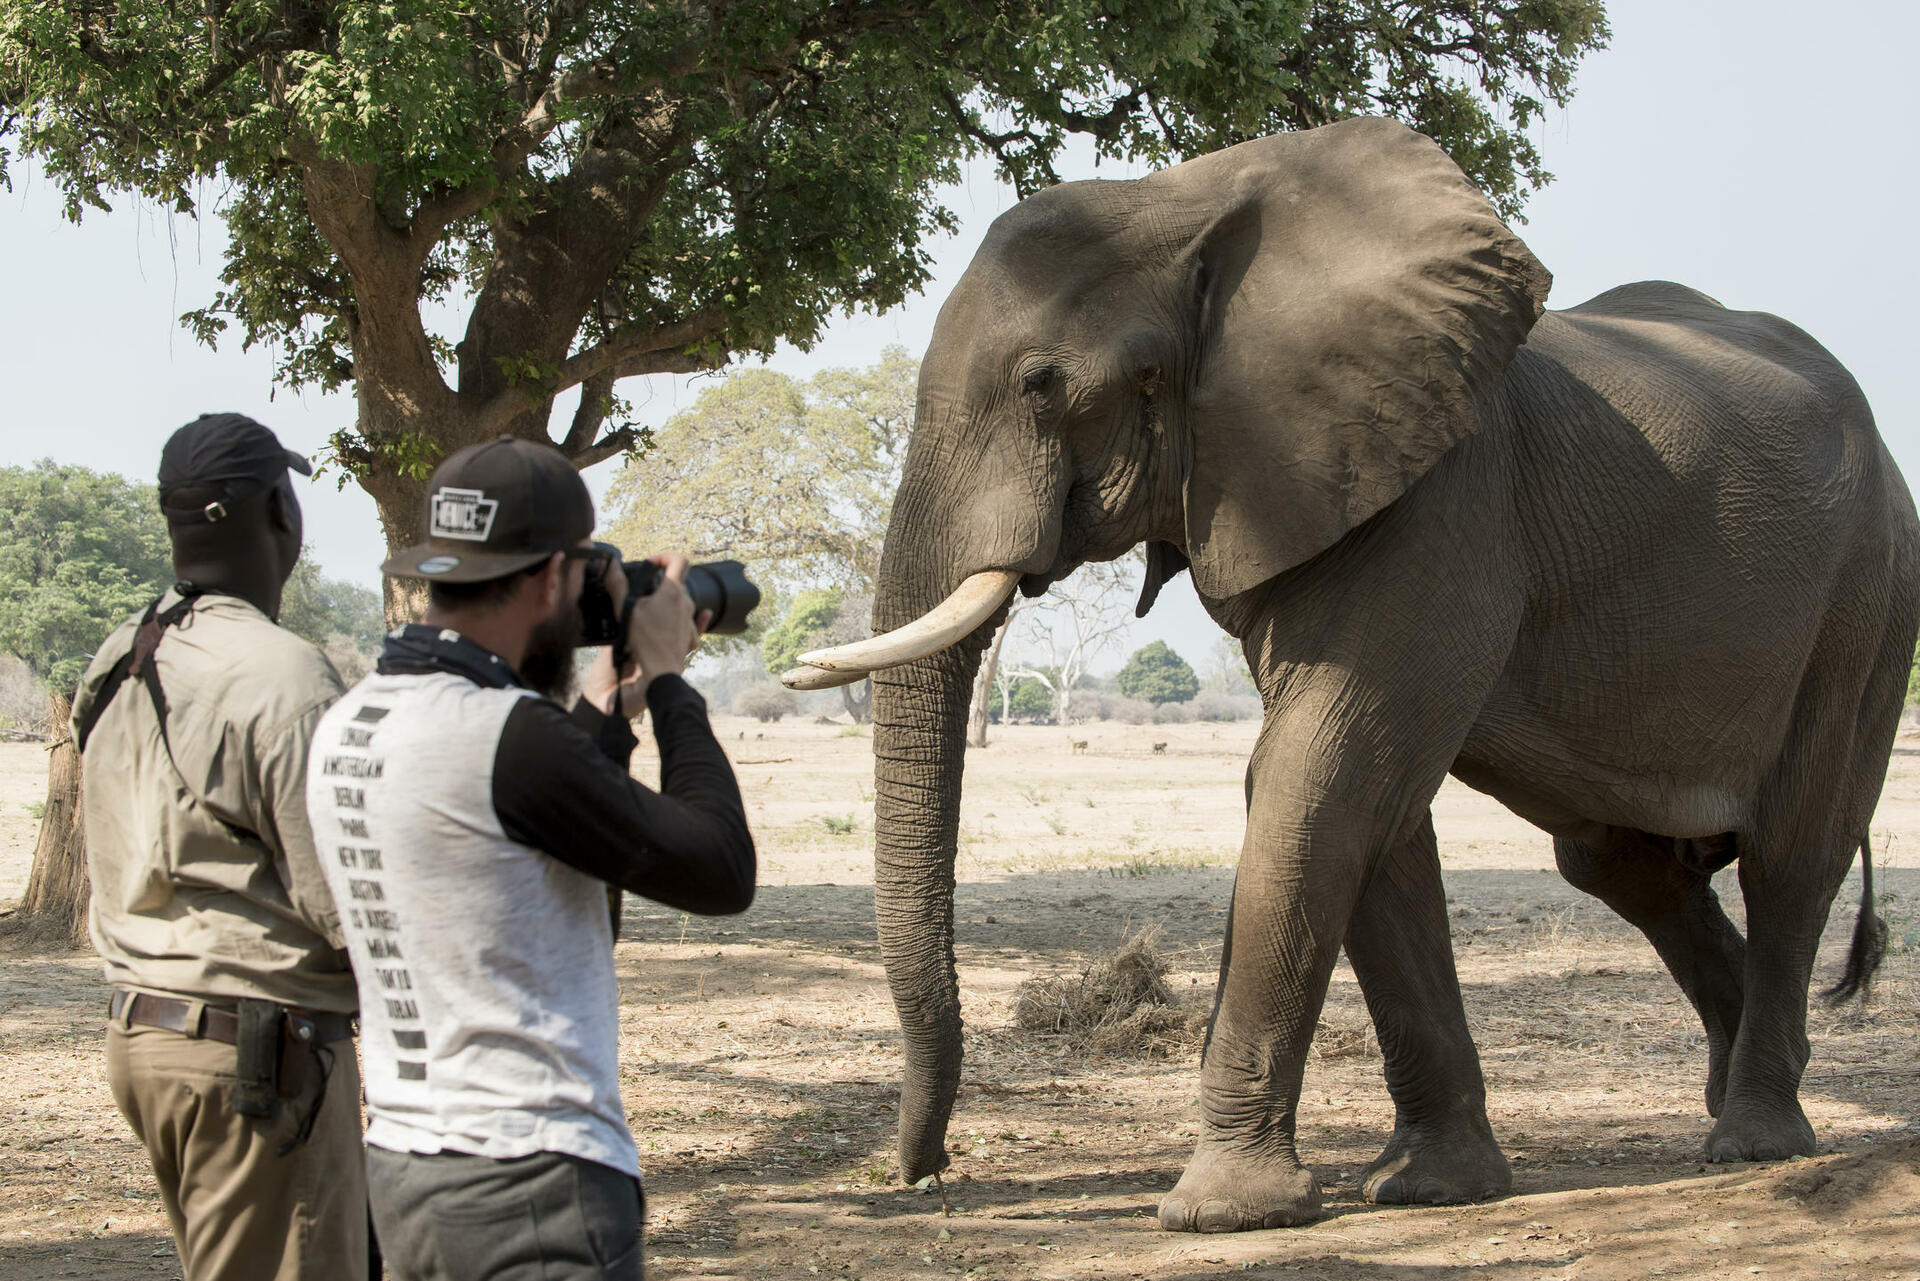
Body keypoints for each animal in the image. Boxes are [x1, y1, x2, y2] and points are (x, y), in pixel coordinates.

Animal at [783, 117, 1920, 1229]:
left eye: (1041, 384)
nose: (928, 1177)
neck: (1190, 199)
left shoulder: (1440, 500)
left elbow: (1316, 776)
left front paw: (1223, 1212)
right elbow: (1366, 807)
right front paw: (1429, 1188)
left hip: (1866, 604)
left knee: (1792, 855)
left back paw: (1756, 1138)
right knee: (1620, 862)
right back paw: (1729, 1097)